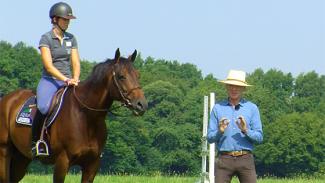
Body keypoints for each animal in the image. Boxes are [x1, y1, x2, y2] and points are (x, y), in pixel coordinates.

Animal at [0, 49, 147, 183]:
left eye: (138, 75)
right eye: (122, 76)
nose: (142, 105)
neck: (86, 117)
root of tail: (7, 99)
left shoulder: (91, 165)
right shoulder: (62, 162)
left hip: (21, 158)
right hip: (5, 153)